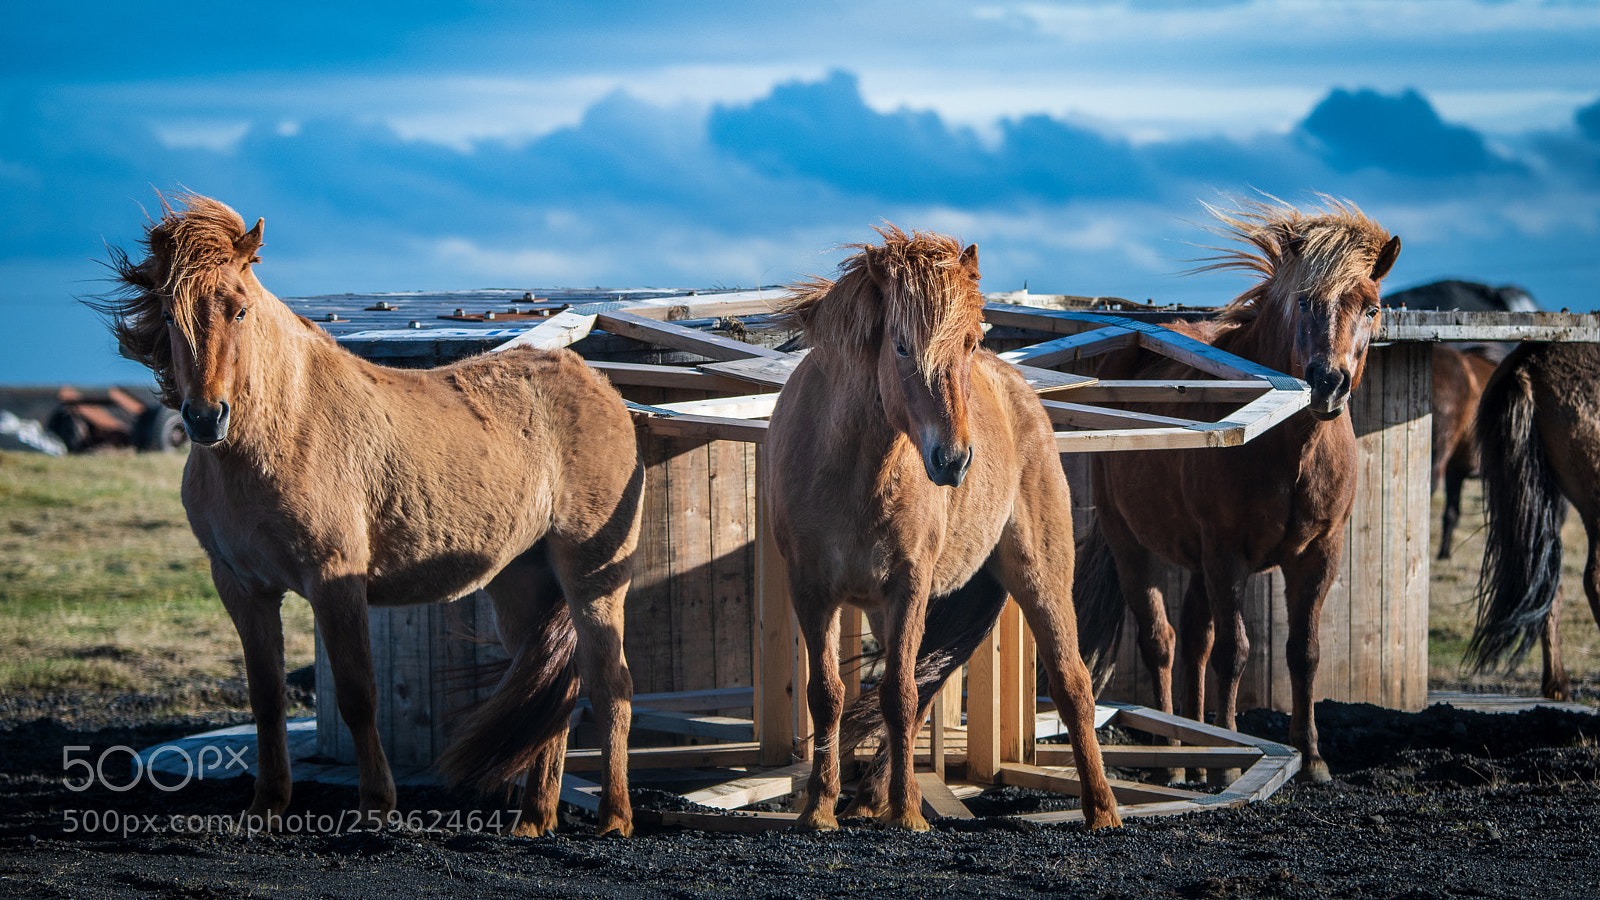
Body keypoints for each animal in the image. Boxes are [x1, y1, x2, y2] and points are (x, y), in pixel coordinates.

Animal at [97, 194, 643, 836]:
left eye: (239, 309)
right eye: (167, 312)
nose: (206, 418)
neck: (282, 429)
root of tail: (599, 385)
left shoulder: (335, 581)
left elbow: (359, 697)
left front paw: (376, 807)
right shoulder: (243, 588)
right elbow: (266, 700)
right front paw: (267, 806)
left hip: (594, 577)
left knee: (611, 685)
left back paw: (614, 817)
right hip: (521, 582)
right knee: (554, 690)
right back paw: (533, 819)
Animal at [763, 226, 1122, 832]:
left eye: (970, 343)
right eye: (902, 345)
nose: (953, 461)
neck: (851, 469)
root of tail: (1021, 394)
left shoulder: (908, 585)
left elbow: (899, 696)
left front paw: (909, 814)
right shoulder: (812, 589)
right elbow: (830, 695)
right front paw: (820, 808)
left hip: (1040, 574)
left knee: (1071, 683)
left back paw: (1102, 812)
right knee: (923, 688)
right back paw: (870, 798)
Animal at [1076, 197, 1400, 783]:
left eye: (1370, 308)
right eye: (1303, 300)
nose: (1328, 382)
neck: (1290, 446)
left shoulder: (1319, 553)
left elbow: (1304, 651)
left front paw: (1311, 757)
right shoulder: (1228, 554)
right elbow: (1235, 652)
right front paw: (1228, 765)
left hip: (1197, 559)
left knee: (1194, 641)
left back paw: (1194, 746)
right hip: (1130, 542)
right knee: (1161, 641)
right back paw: (1174, 757)